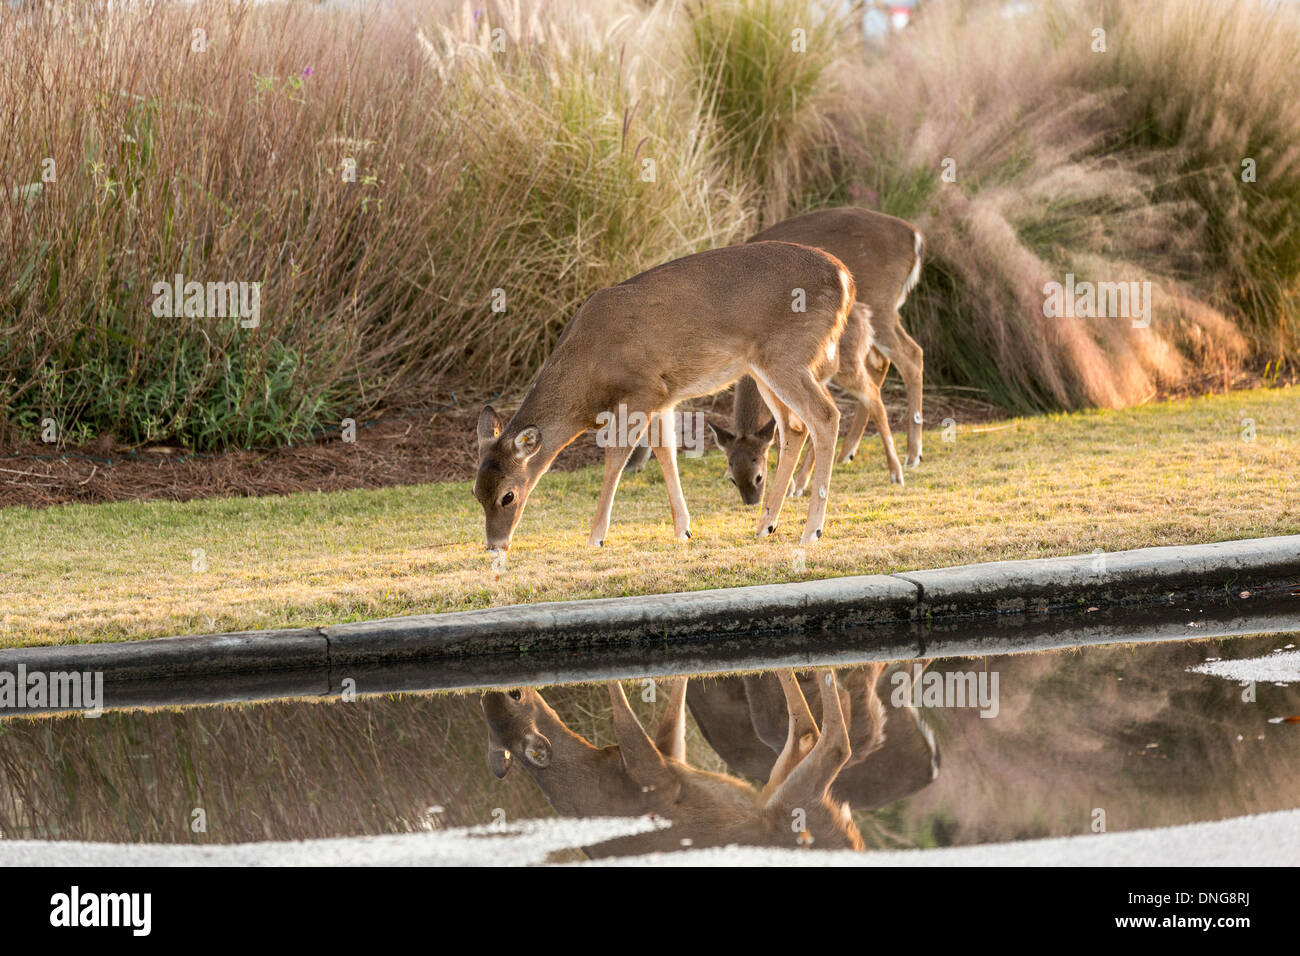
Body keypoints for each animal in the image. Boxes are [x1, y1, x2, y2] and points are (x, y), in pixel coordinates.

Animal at [475, 243, 852, 548]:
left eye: (508, 496)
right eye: (477, 493)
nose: (495, 545)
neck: (588, 373)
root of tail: (845, 279)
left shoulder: (642, 390)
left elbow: (616, 457)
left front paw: (596, 537)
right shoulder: (663, 395)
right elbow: (666, 452)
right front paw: (683, 530)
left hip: (786, 355)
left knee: (825, 416)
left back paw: (811, 532)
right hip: (764, 369)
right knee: (793, 428)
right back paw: (765, 526)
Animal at [478, 671, 863, 858]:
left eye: (506, 696)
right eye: (516, 695)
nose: (494, 689)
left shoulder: (670, 758)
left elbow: (669, 720)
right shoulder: (654, 777)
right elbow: (622, 719)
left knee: (808, 734)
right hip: (788, 806)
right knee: (829, 741)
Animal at [702, 208, 925, 502]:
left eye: (758, 475)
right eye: (732, 478)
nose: (751, 501)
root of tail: (915, 235)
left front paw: (794, 485)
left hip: (882, 305)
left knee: (910, 356)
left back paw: (910, 457)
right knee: (881, 365)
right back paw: (848, 453)